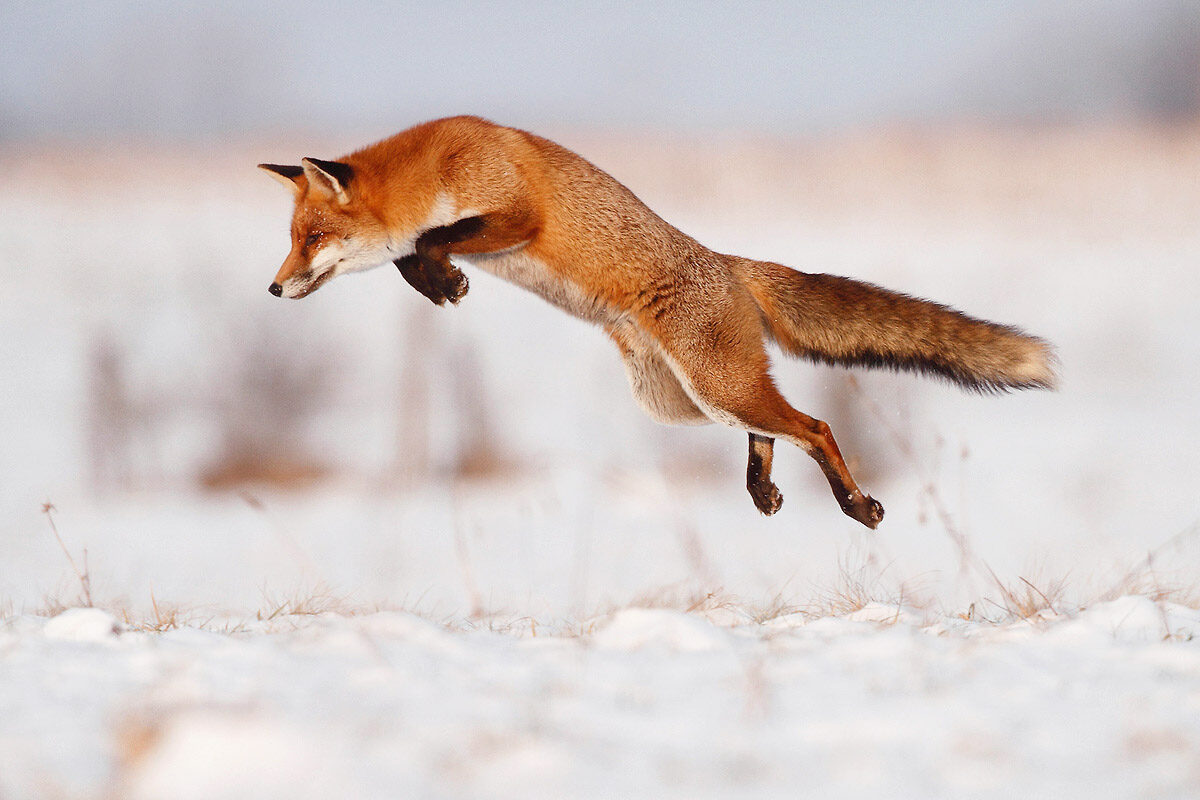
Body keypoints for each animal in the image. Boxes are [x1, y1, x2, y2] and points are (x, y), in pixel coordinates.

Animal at [259, 115, 1056, 529]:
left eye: (311, 238)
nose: (272, 287)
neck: (438, 166)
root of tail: (731, 263)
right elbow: (412, 251)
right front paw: (435, 285)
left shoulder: (517, 215)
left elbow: (429, 238)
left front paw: (441, 277)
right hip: (683, 401)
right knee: (775, 428)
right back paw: (763, 488)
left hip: (712, 385)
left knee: (817, 426)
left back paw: (856, 503)